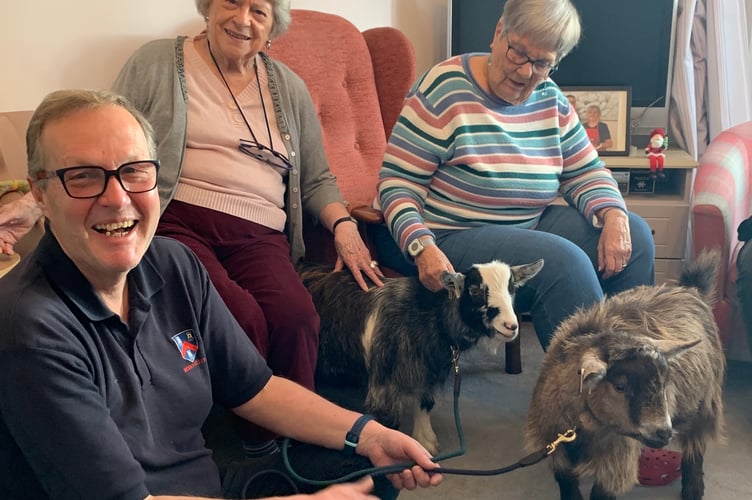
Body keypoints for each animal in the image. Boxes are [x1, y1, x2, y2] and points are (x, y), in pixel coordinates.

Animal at [299, 259, 543, 455]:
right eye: (474, 290)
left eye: (511, 288)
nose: (511, 326)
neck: (428, 315)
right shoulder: (383, 385)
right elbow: (388, 422)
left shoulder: (428, 370)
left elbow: (425, 403)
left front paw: (426, 441)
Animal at [525, 250, 725, 500]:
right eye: (620, 386)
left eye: (664, 382)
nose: (663, 432)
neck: (581, 430)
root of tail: (691, 289)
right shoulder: (555, 447)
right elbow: (567, 484)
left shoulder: (616, 457)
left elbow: (602, 494)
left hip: (705, 401)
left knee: (695, 446)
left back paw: (693, 489)